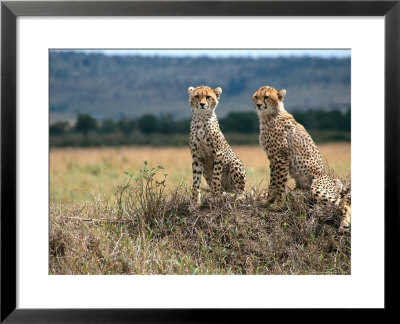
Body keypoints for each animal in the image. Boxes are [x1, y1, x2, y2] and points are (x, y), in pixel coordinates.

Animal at [253, 85, 350, 232]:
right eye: (256, 97)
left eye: (266, 97)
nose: (258, 105)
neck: (270, 115)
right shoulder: (272, 157)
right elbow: (273, 182)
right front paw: (268, 201)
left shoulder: (281, 157)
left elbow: (280, 183)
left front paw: (278, 205)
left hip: (317, 187)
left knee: (341, 203)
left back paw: (344, 224)